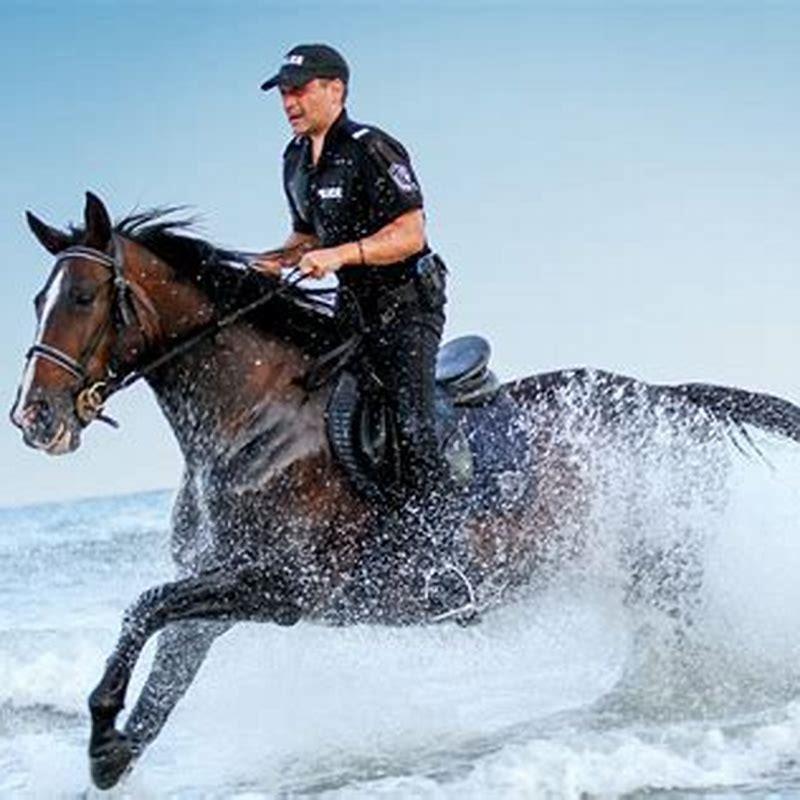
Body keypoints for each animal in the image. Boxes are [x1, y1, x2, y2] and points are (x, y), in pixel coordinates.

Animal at [11, 192, 800, 790]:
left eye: (82, 296)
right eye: (37, 297)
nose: (33, 418)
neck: (253, 420)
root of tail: (672, 398)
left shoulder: (282, 587)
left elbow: (144, 607)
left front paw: (103, 729)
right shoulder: (218, 593)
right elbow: (163, 663)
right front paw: (113, 750)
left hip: (665, 564)